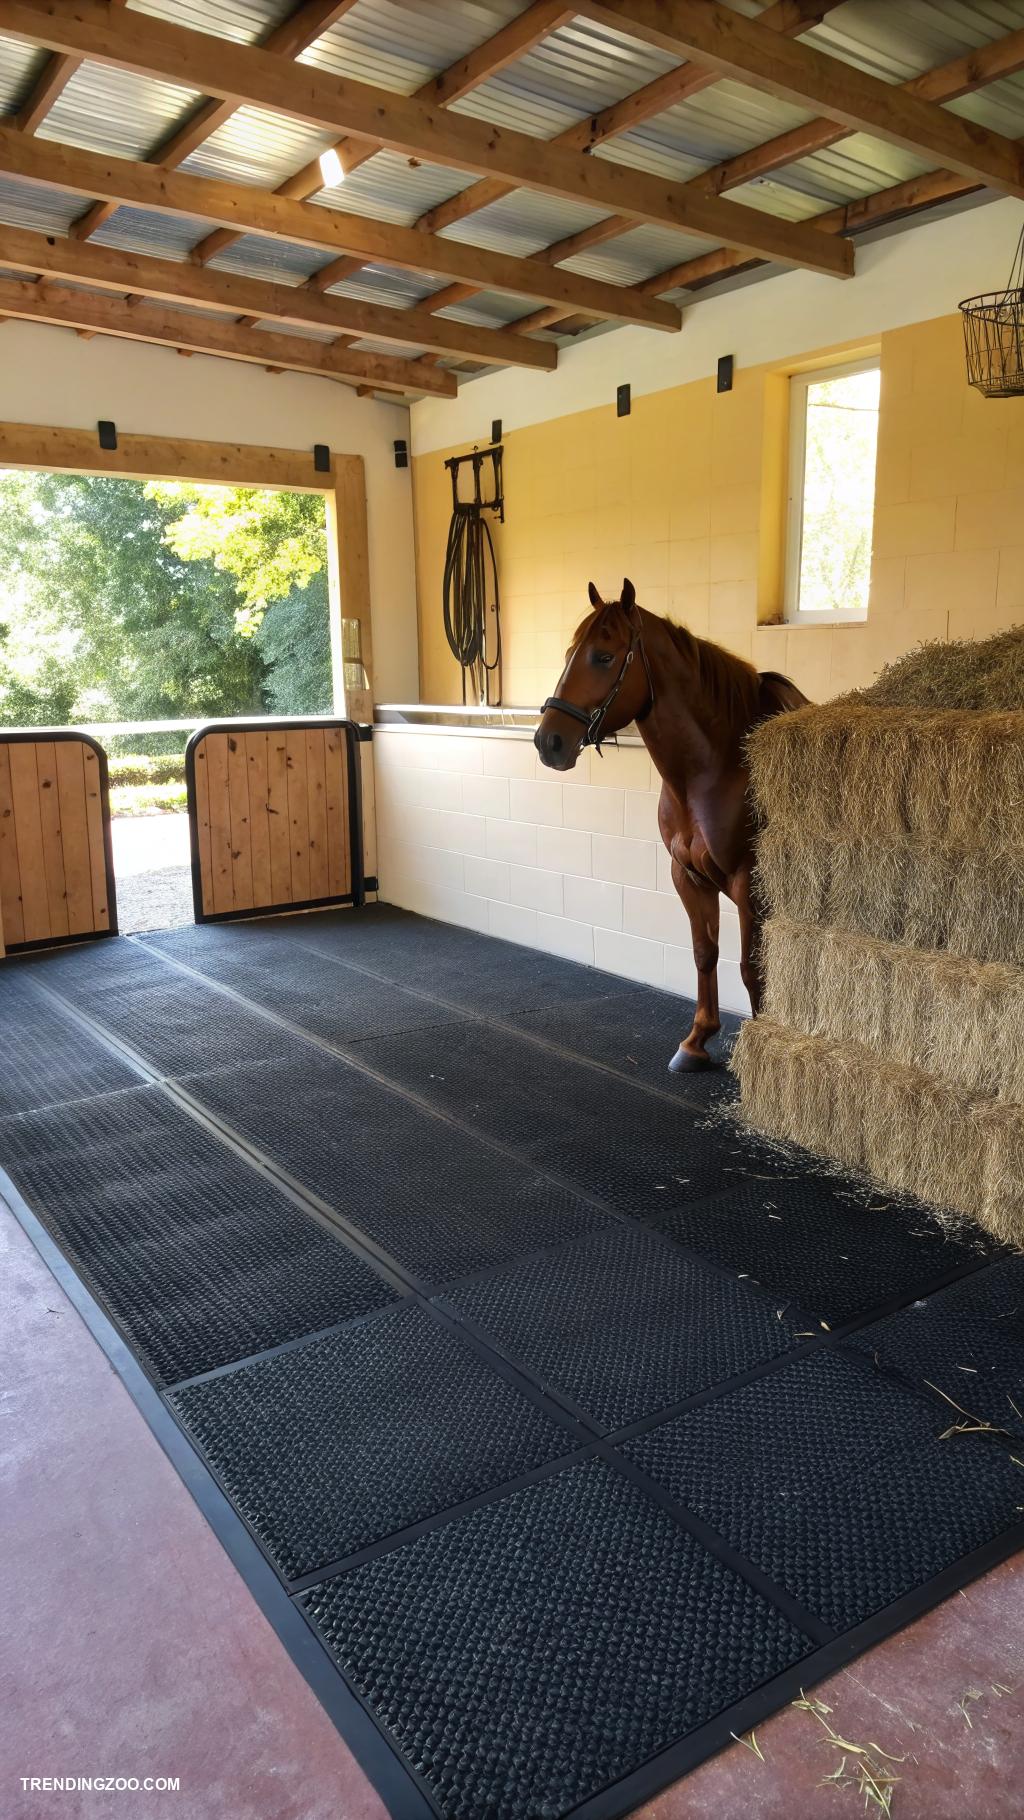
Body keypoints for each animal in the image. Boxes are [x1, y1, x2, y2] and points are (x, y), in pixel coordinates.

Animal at [535, 579, 808, 1073]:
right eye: (569, 652)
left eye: (603, 656)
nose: (550, 741)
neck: (716, 768)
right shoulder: (687, 875)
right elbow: (705, 953)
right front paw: (697, 1039)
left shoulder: (749, 886)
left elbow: (750, 969)